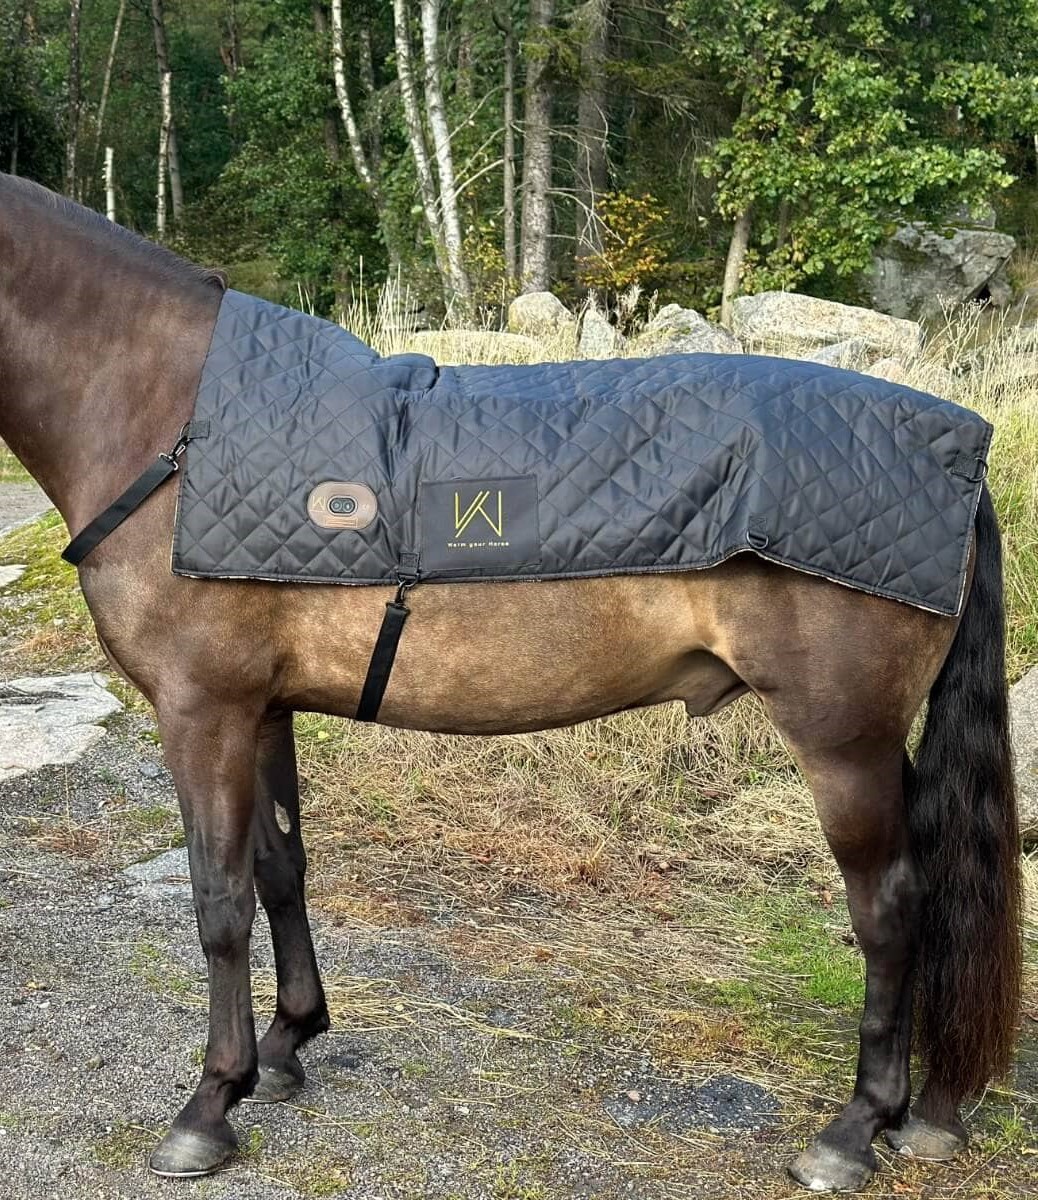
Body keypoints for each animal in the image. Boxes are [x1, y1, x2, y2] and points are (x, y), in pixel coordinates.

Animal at [0, 172, 1021, 1192]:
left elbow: (218, 902)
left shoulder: (199, 710)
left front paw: (210, 1104)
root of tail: (962, 455)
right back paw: (928, 1114)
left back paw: (855, 1128)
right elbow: (280, 870)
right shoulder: (258, 709)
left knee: (891, 908)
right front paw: (288, 1045)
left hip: (843, 740)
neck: (171, 411)